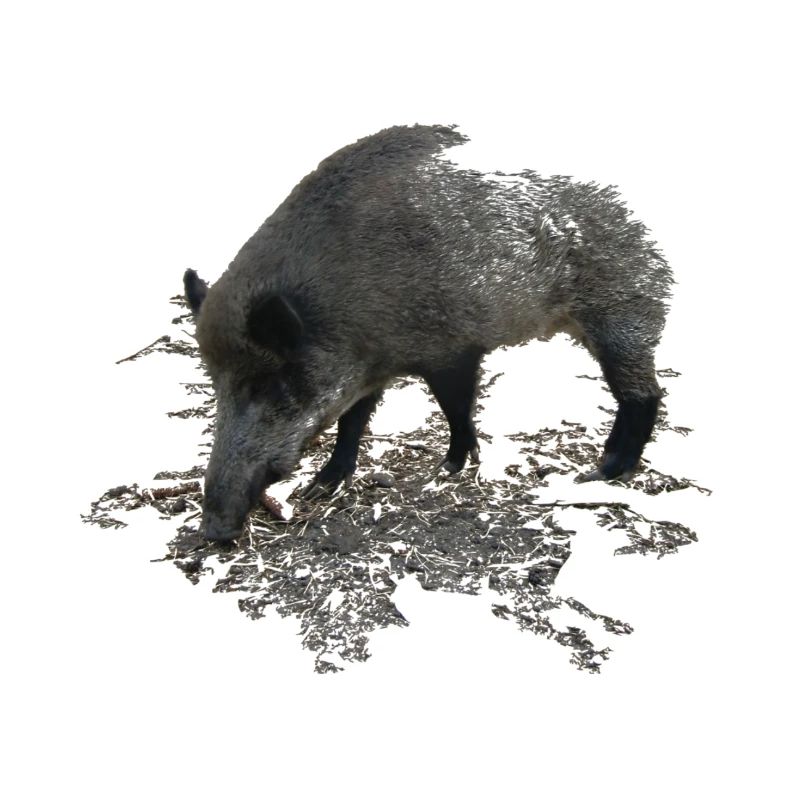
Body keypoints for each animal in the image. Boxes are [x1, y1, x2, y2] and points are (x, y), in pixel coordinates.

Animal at [184, 124, 672, 542]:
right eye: (216, 383)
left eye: (268, 383)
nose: (213, 530)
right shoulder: (368, 370)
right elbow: (352, 421)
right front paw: (320, 488)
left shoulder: (452, 349)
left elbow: (454, 408)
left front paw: (449, 468)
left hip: (623, 311)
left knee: (645, 396)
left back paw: (602, 472)